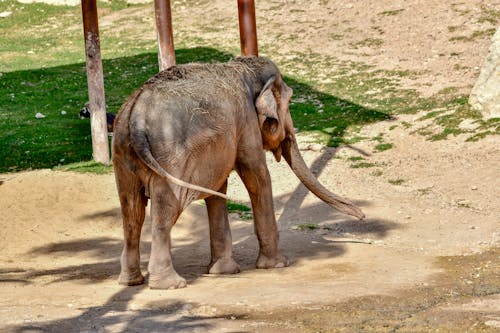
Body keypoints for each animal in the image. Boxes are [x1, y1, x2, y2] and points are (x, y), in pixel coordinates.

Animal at [113, 56, 364, 288]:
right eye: (289, 102)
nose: (361, 215)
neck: (244, 67)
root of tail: (136, 115)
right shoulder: (247, 122)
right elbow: (258, 176)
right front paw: (277, 264)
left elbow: (218, 189)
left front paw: (223, 271)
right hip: (169, 158)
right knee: (165, 211)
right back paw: (171, 284)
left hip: (123, 154)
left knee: (132, 211)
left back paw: (131, 281)